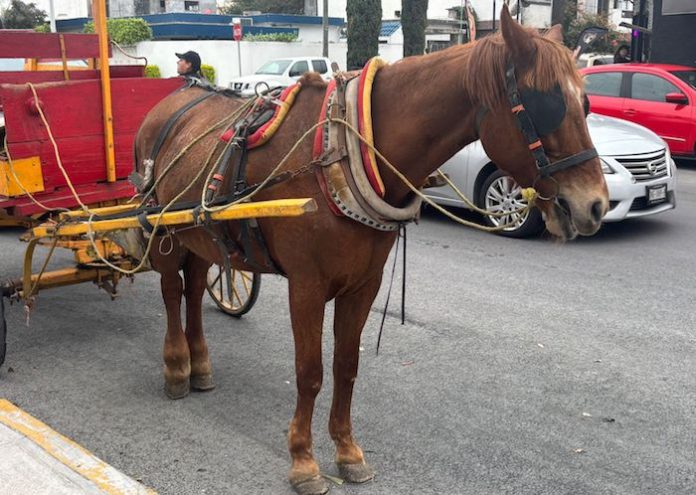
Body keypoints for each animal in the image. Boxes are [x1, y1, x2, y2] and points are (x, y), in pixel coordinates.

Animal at [135, 7, 608, 494]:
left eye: (586, 104)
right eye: (546, 104)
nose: (594, 205)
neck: (344, 152)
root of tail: (173, 103)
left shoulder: (363, 284)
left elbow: (346, 365)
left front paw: (347, 451)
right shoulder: (306, 286)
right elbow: (309, 372)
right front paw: (303, 460)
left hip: (198, 235)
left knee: (194, 289)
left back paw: (200, 364)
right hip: (163, 230)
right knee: (172, 291)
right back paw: (177, 367)